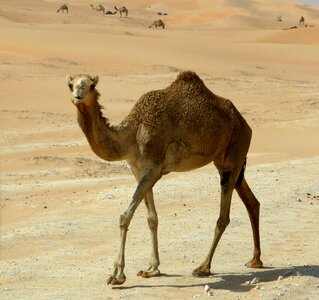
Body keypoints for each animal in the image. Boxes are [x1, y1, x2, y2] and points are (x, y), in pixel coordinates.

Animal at [66, 71, 264, 286]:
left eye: (91, 85)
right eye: (70, 85)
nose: (78, 95)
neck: (132, 134)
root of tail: (245, 124)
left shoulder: (154, 169)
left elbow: (125, 216)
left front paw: (117, 275)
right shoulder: (138, 170)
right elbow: (151, 218)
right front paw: (152, 269)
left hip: (234, 154)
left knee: (224, 216)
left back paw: (203, 267)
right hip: (228, 162)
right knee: (252, 202)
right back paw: (255, 260)